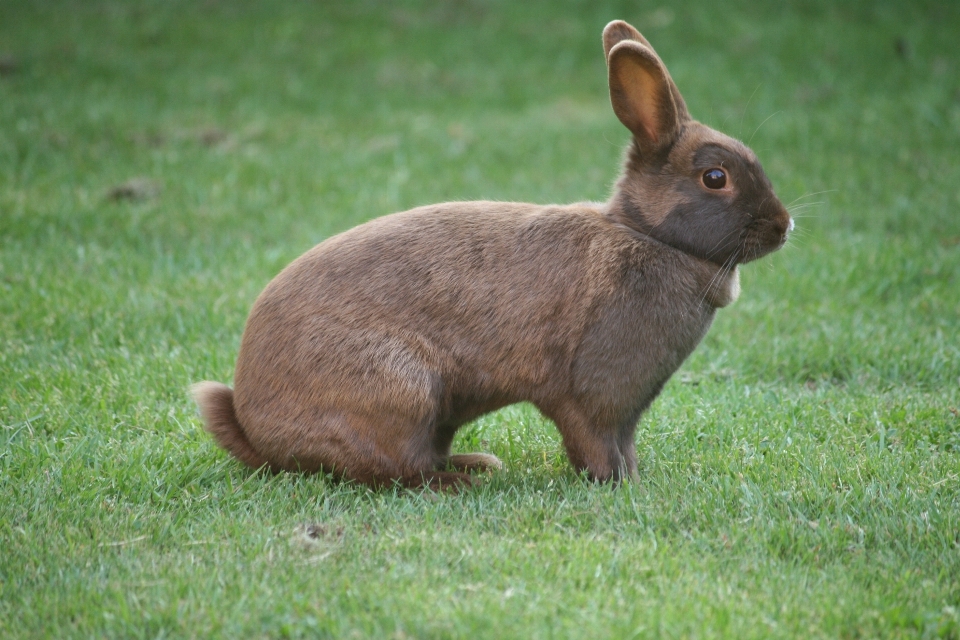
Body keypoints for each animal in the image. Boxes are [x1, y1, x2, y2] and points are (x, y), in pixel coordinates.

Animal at [191, 20, 792, 490]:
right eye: (714, 178)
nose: (784, 227)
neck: (648, 236)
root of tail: (254, 429)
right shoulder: (593, 395)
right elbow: (595, 442)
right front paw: (622, 487)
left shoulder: (624, 410)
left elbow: (624, 445)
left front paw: (635, 480)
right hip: (403, 393)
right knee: (393, 471)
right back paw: (464, 481)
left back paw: (475, 464)